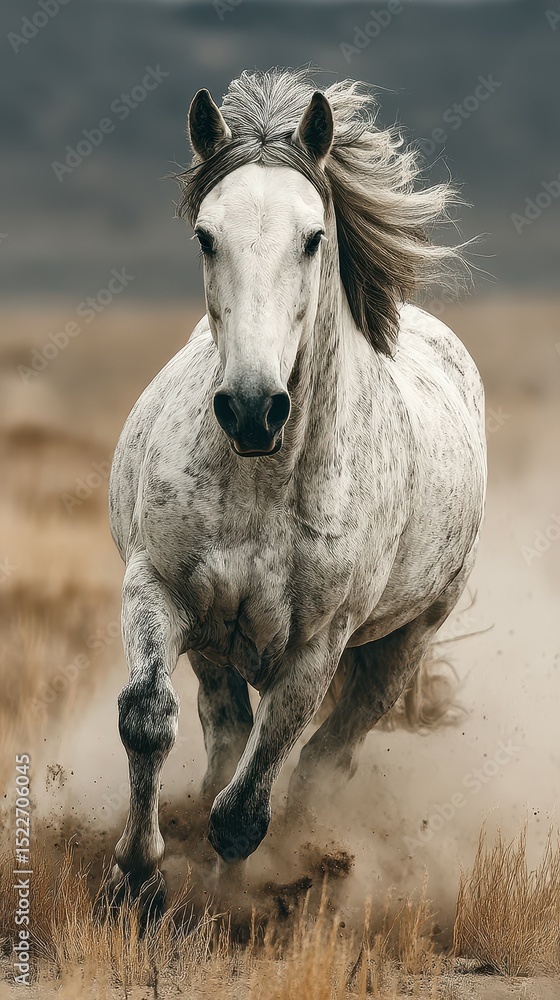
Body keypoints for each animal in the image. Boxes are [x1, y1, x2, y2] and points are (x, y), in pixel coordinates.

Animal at [107, 69, 486, 899]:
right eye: (205, 235)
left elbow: (245, 811)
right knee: (225, 733)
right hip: (218, 646)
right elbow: (147, 719)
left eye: (312, 237)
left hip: (401, 644)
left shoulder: (316, 650)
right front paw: (137, 875)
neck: (263, 482)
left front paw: (226, 903)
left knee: (323, 763)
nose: (253, 407)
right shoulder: (158, 588)